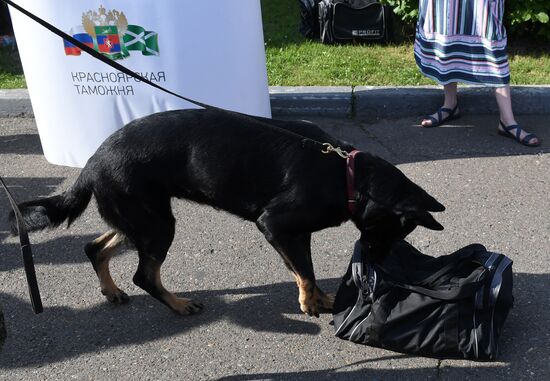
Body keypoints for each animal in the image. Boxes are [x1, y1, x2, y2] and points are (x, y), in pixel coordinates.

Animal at [8, 108, 446, 316]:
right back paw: (178, 304)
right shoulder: (275, 225)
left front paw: (317, 297)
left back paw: (111, 290)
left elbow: (300, 266)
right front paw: (309, 302)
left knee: (95, 248)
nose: (376, 262)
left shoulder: (293, 233)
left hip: (140, 218)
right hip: (156, 224)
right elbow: (303, 270)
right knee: (144, 274)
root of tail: (93, 160)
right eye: (388, 232)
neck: (348, 174)